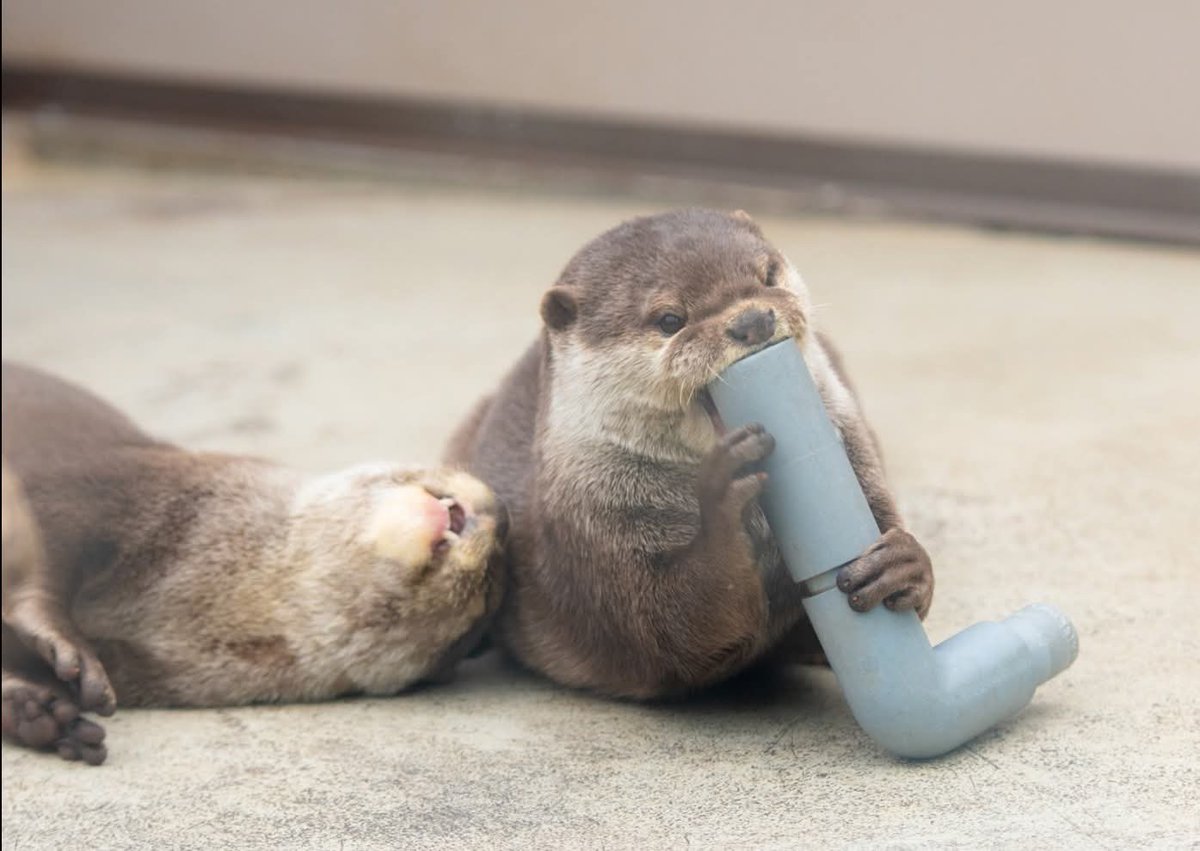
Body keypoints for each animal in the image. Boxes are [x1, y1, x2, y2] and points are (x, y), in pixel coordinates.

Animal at [2, 363, 506, 765]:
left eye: (484, 594)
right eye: (492, 582)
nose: (500, 519)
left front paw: (40, 716)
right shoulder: (90, 488)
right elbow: (44, 551)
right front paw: (63, 650)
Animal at [445, 208, 933, 699]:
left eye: (767, 275)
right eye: (669, 319)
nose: (752, 320)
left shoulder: (855, 452)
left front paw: (905, 563)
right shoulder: (593, 538)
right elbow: (670, 629)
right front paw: (722, 498)